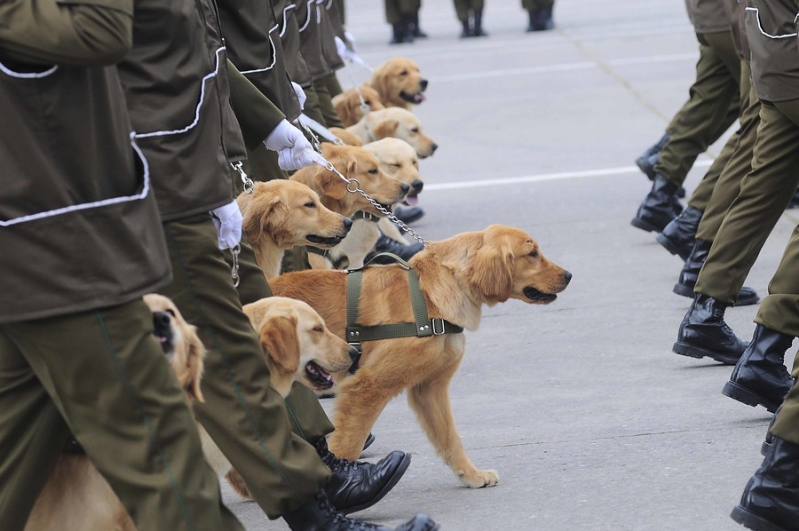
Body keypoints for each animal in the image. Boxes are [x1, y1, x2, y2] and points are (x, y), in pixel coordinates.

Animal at [272, 227, 572, 488]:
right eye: (532, 254)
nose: (569, 275)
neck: (430, 298)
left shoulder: (430, 389)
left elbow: (450, 438)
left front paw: (471, 475)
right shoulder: (366, 388)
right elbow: (347, 445)